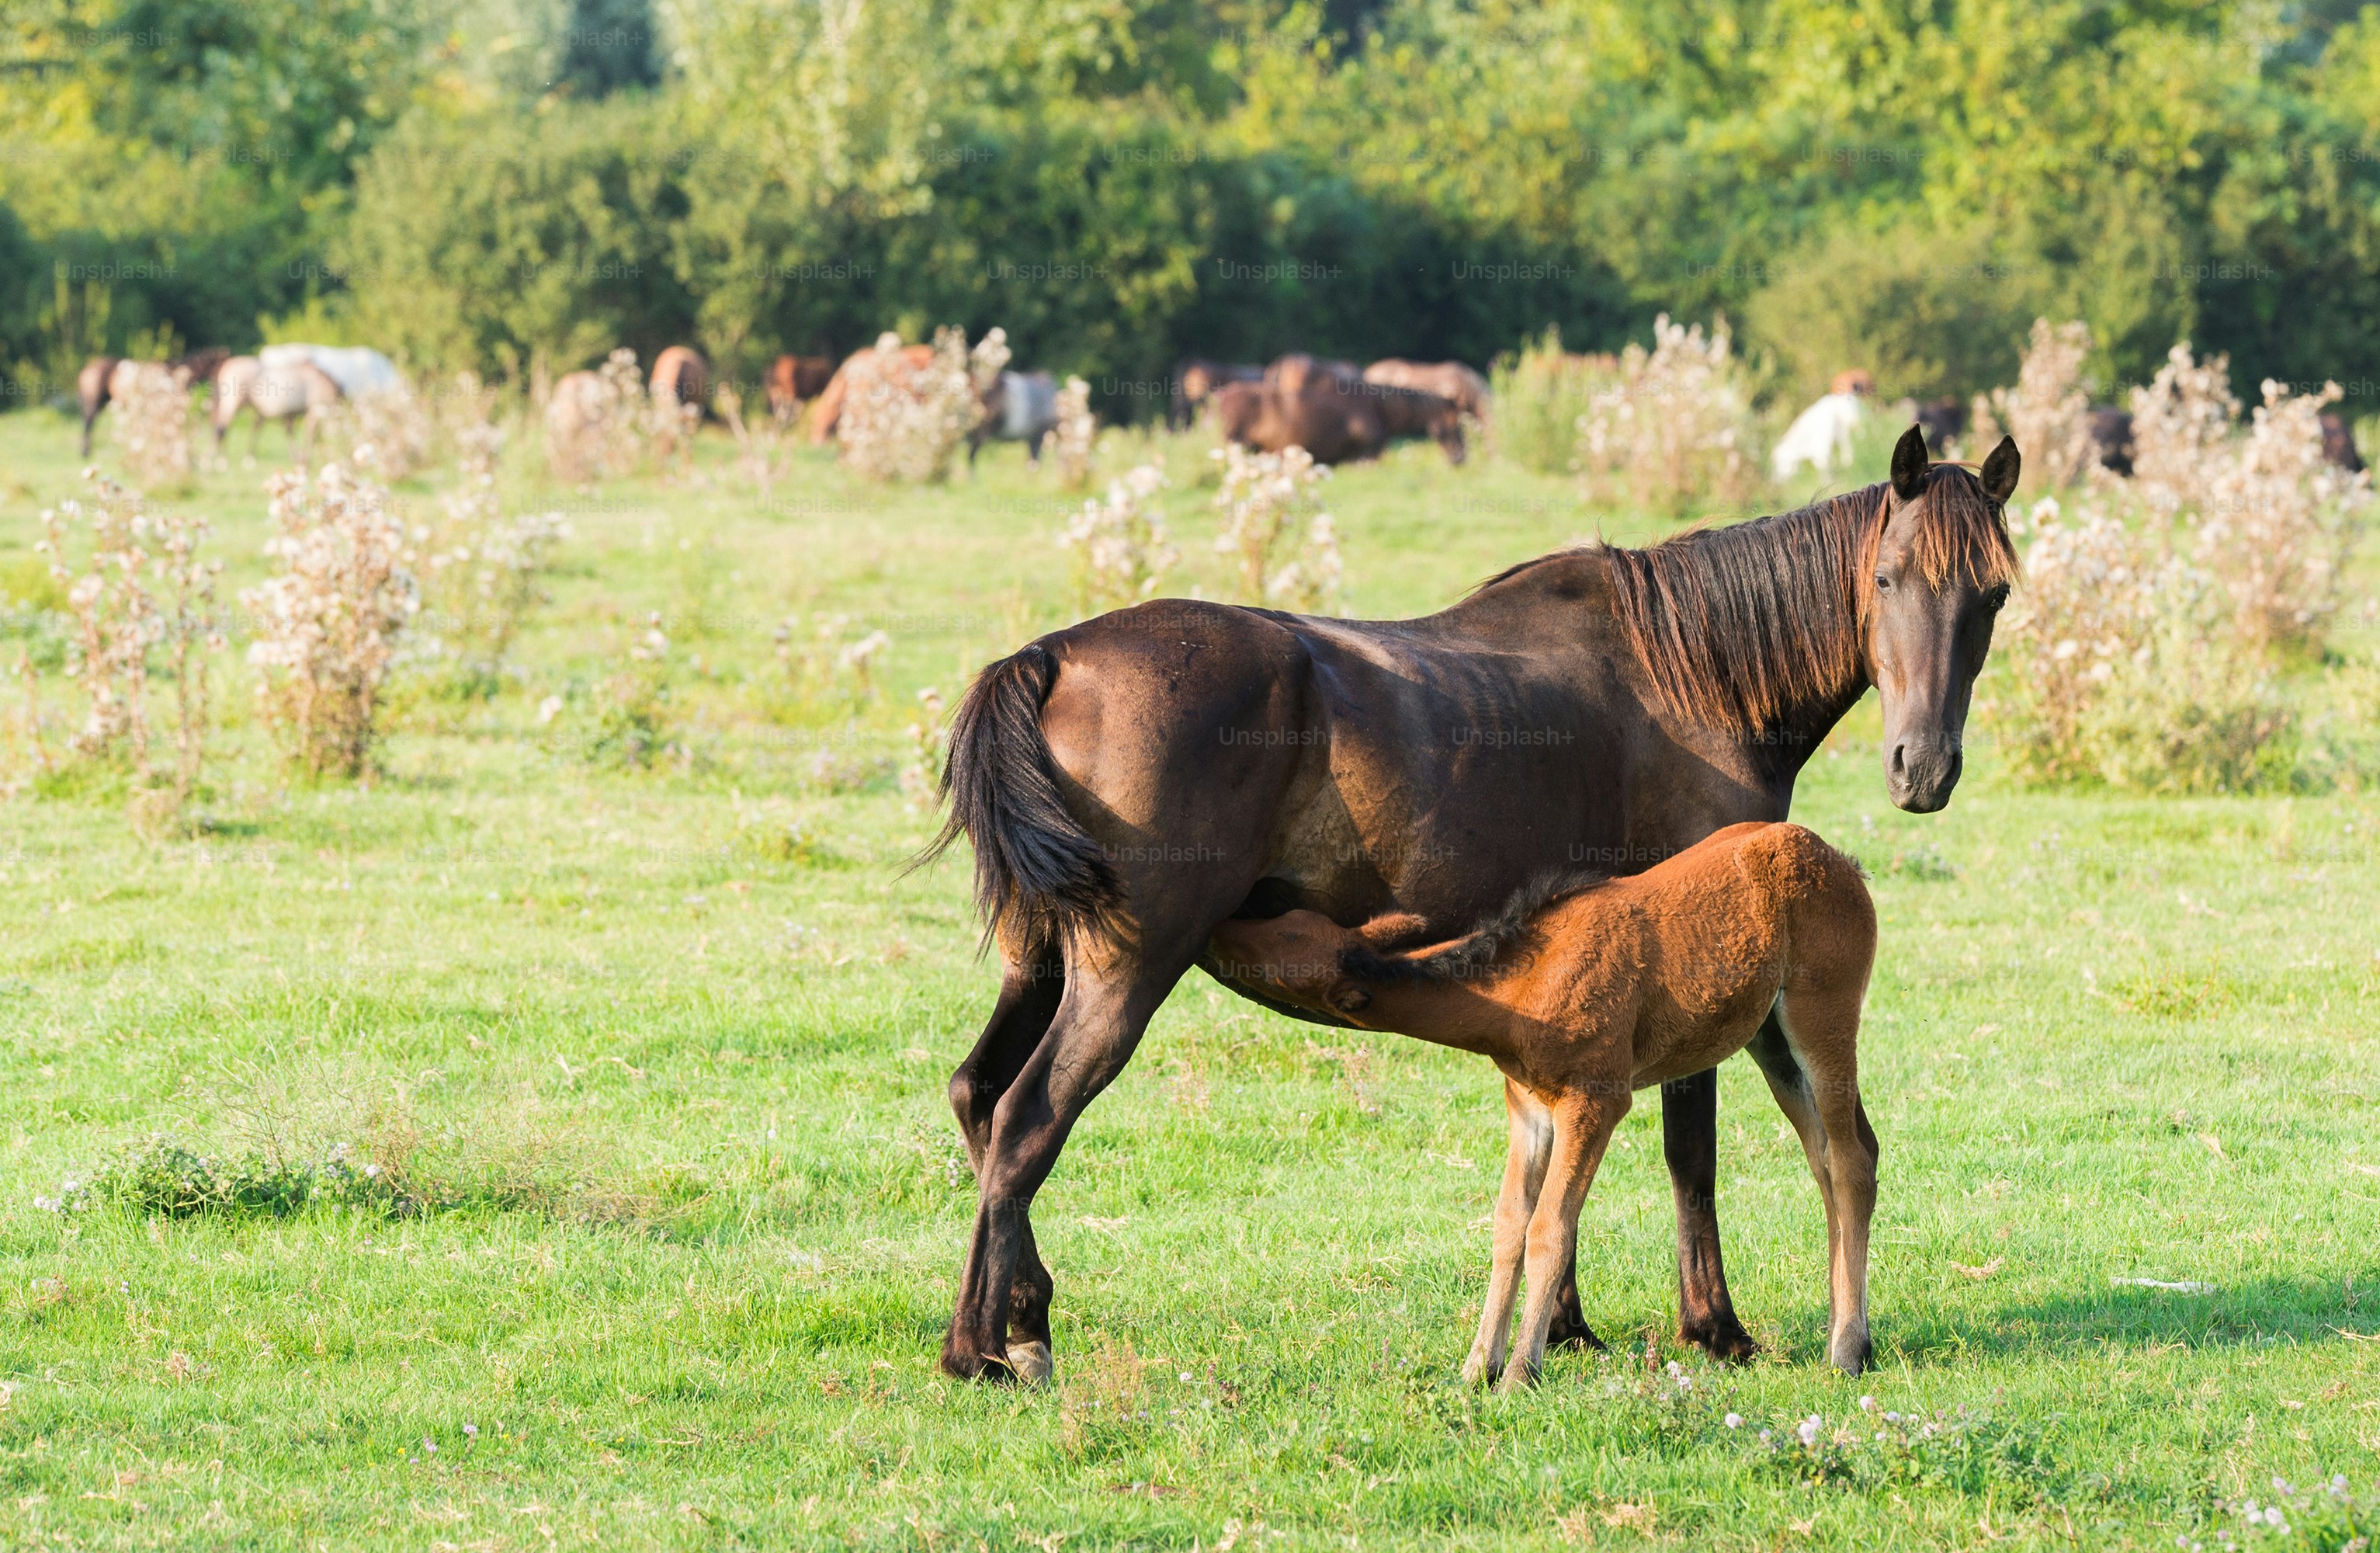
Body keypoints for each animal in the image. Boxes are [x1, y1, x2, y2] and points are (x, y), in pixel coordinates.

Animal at [211, 355, 341, 455]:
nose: (337, 446)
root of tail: (228, 365)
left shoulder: (291, 414)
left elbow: (293, 434)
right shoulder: (313, 410)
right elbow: (310, 436)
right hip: (233, 404)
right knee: (221, 429)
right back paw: (220, 461)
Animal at [1209, 820, 1878, 1388]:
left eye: (1284, 940)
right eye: (1294, 920)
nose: (1222, 925)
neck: (1522, 991)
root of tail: (1840, 861)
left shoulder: (1595, 1101)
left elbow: (1551, 1228)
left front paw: (1519, 1373)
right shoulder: (1529, 1106)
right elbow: (1509, 1224)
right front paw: (1476, 1366)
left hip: (1822, 1016)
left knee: (1850, 1162)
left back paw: (1846, 1352)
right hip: (1772, 1043)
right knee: (1831, 1157)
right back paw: (1850, 1336)